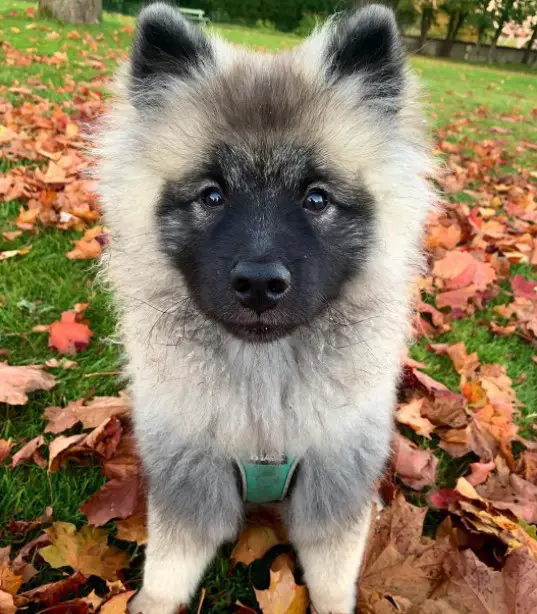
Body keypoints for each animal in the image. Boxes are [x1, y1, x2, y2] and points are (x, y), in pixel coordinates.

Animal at [96, 3, 434, 613]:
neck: (265, 382)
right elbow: (168, 572)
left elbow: (332, 581)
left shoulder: (333, 480)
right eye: (212, 195)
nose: (258, 283)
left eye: (316, 198)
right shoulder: (191, 475)